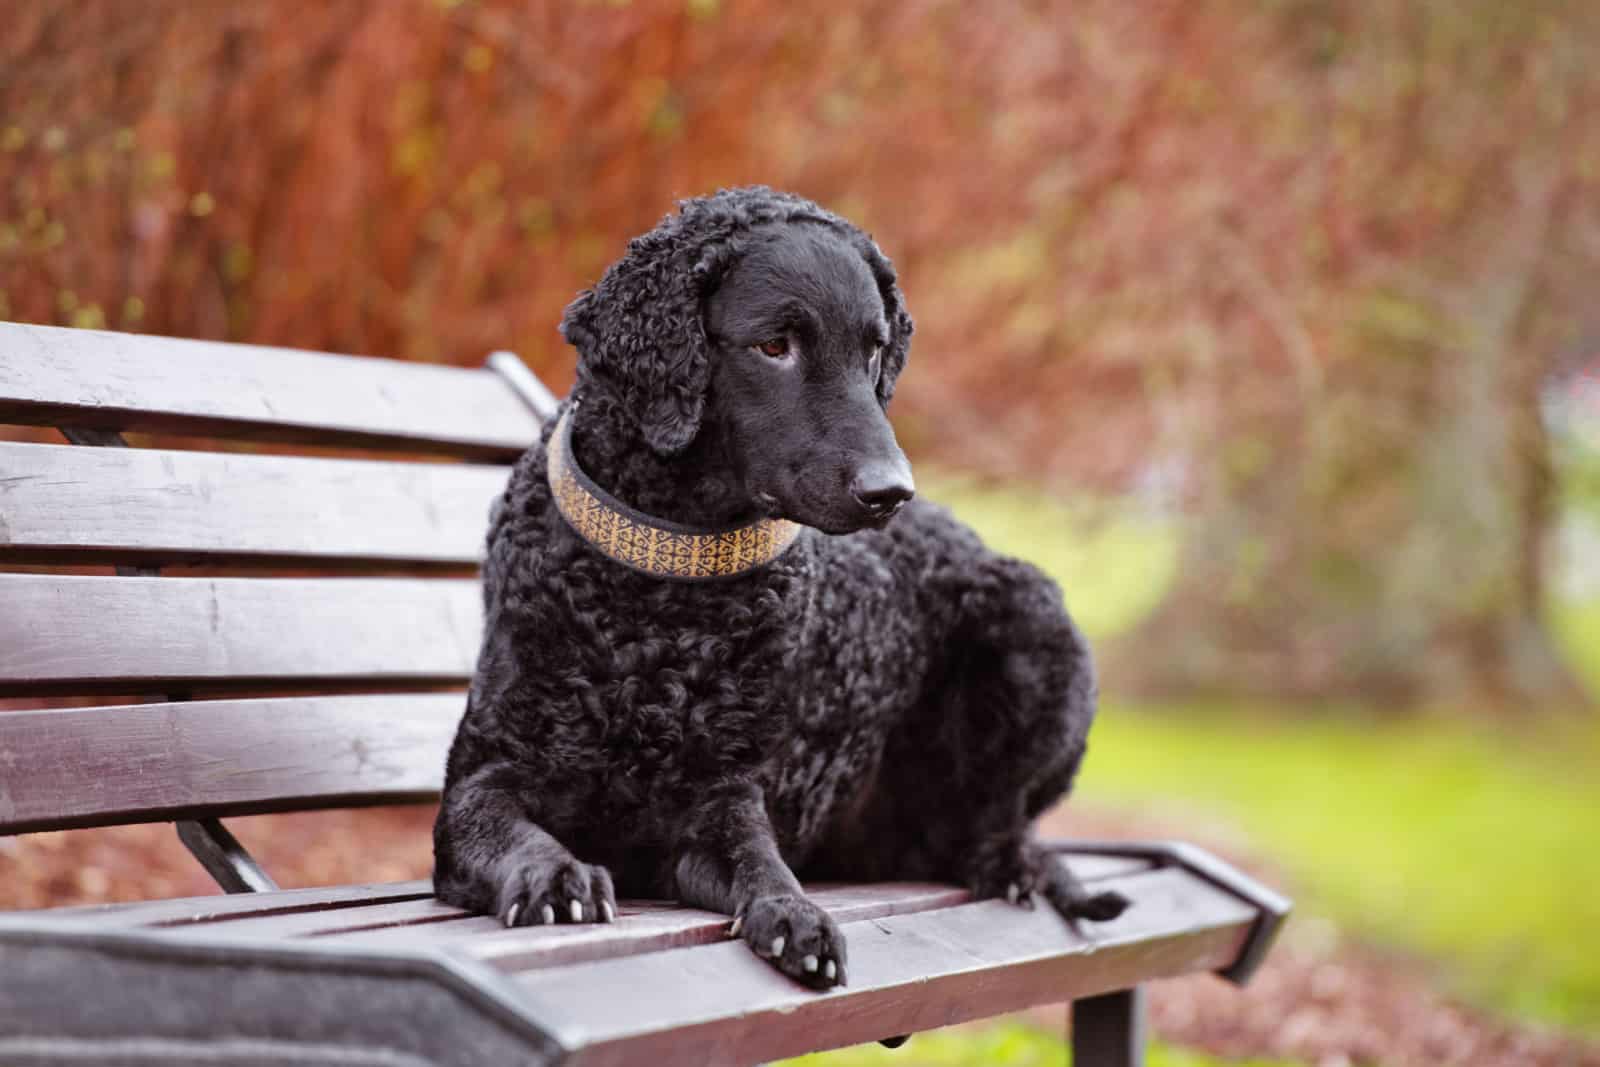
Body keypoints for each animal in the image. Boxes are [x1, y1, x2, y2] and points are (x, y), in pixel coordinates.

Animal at [425, 185, 1126, 991]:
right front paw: (555, 876)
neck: (664, 601)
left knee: (1000, 824)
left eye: (873, 349)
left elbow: (759, 861)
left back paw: (1011, 866)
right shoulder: (483, 781)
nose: (892, 492)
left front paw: (796, 916)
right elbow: (510, 831)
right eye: (774, 347)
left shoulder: (721, 799)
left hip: (1035, 618)